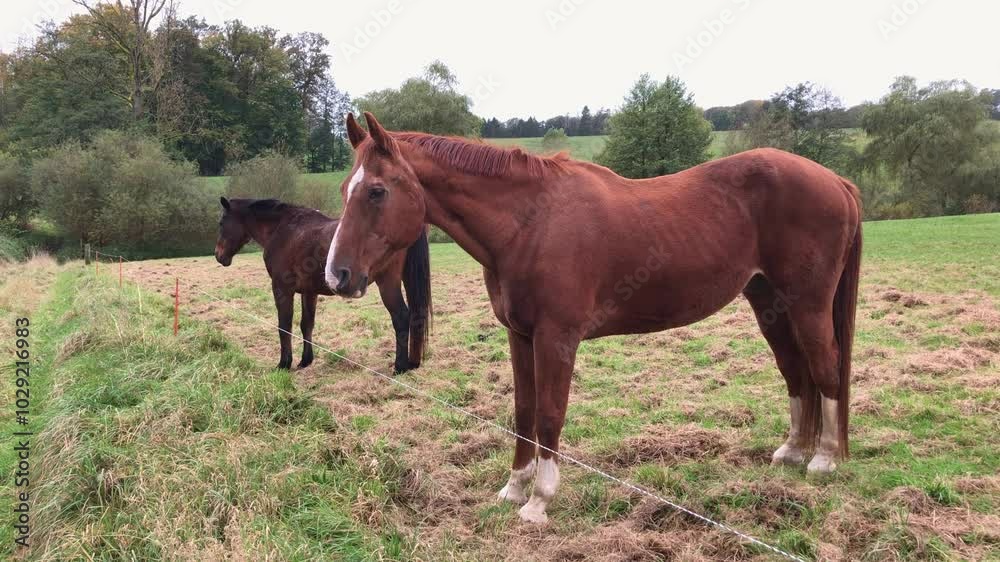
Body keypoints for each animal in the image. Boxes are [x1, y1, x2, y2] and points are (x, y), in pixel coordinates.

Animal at [214, 196, 431, 373]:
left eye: (221, 222)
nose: (218, 255)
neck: (283, 229)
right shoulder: (309, 292)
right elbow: (306, 325)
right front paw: (305, 360)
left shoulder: (282, 289)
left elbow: (284, 326)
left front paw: (284, 363)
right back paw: (412, 363)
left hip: (387, 283)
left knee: (401, 317)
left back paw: (400, 366)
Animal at [326, 112, 862, 524]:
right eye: (345, 188)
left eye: (376, 191)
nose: (337, 274)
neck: (530, 221)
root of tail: (835, 181)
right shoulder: (520, 336)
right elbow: (523, 410)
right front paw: (513, 487)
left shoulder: (556, 338)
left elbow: (548, 414)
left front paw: (538, 502)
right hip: (769, 304)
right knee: (796, 373)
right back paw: (793, 451)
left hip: (809, 305)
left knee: (825, 368)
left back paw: (823, 459)